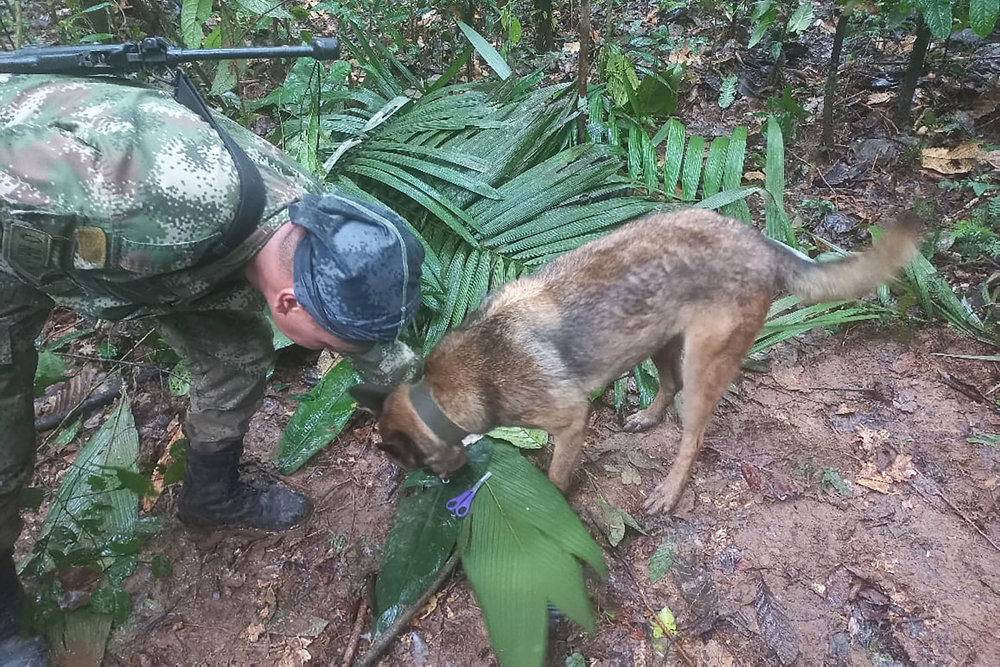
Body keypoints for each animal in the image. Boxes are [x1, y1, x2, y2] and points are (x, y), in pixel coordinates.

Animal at [350, 211, 920, 516]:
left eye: (414, 465)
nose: (448, 488)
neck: (442, 392)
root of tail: (760, 242)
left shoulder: (570, 421)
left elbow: (556, 476)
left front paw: (551, 503)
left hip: (703, 364)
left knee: (692, 435)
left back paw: (668, 491)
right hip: (658, 341)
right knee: (666, 388)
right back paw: (647, 417)